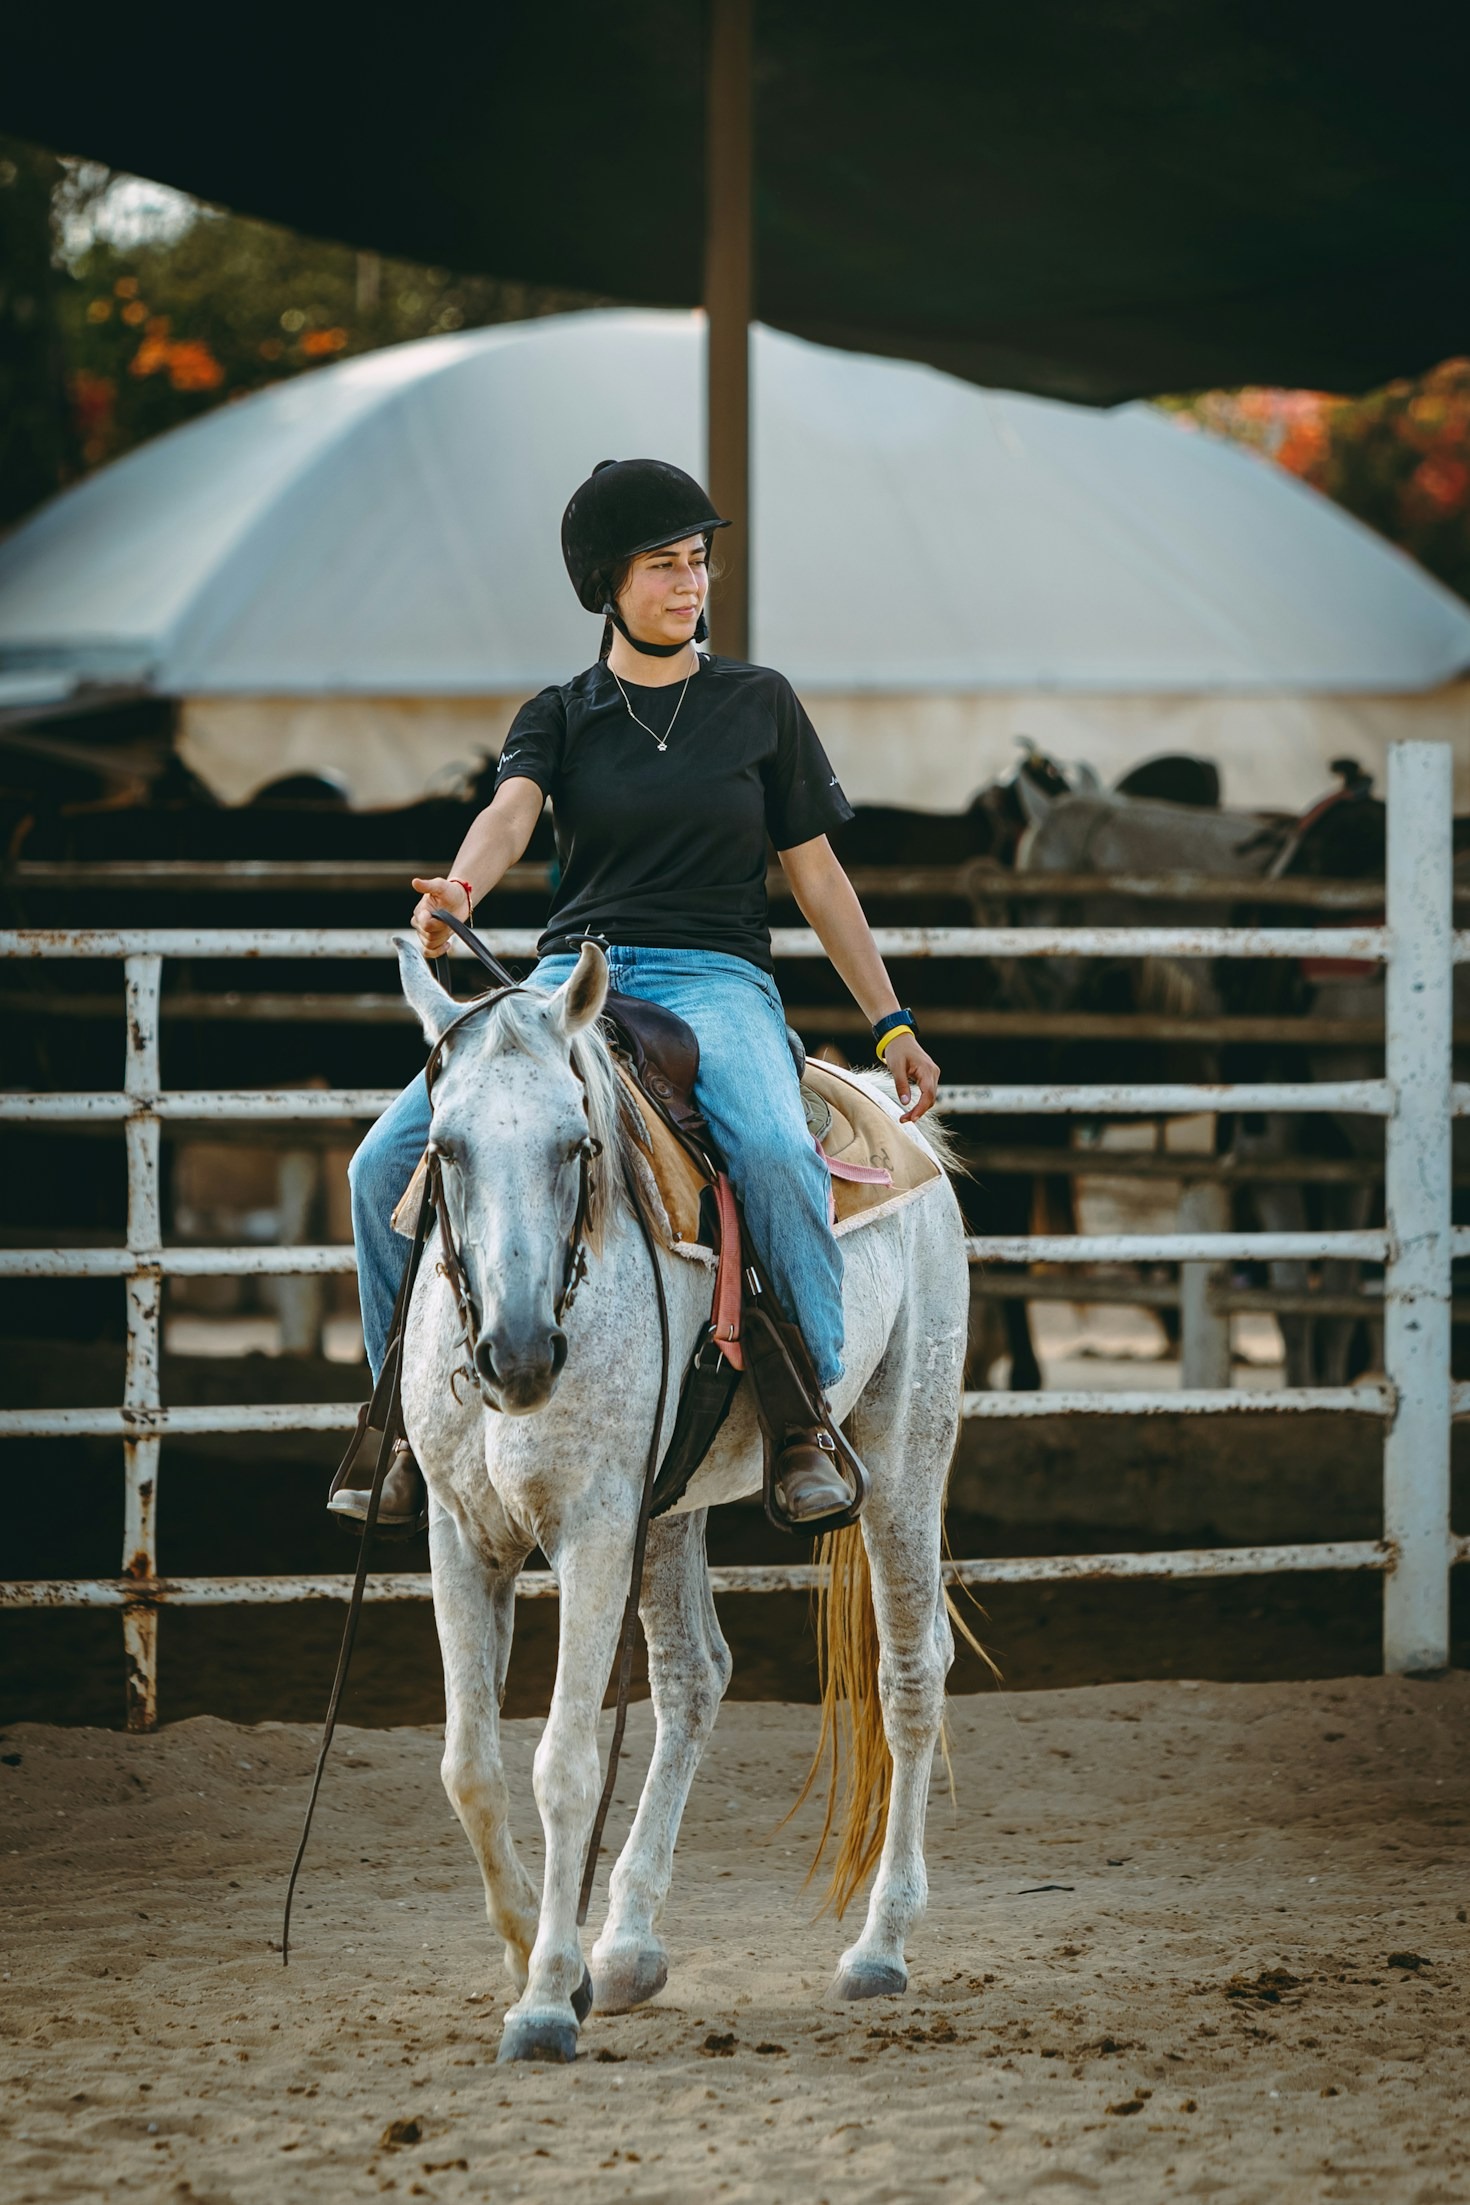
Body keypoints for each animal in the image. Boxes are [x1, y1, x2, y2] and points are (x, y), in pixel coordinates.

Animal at [392, 935, 971, 2064]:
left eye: (577, 1145)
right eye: (446, 1147)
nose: (518, 1355)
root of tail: (895, 1108)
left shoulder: (592, 1529)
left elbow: (564, 1763)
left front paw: (543, 2001)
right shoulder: (463, 1532)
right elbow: (469, 1766)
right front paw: (544, 1959)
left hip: (905, 1454)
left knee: (912, 1674)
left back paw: (880, 1946)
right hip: (672, 1509)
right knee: (695, 1675)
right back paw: (624, 1946)